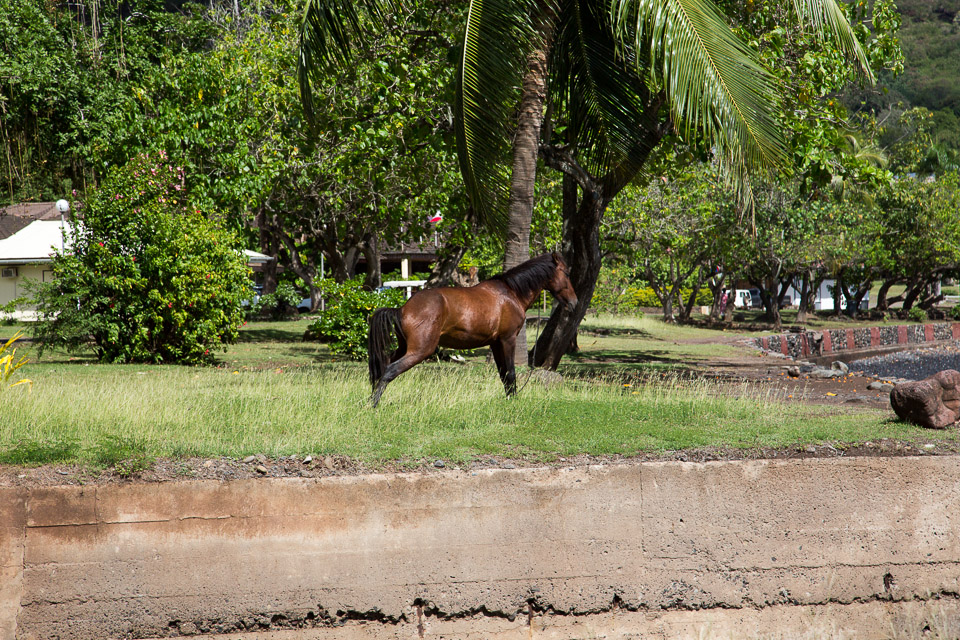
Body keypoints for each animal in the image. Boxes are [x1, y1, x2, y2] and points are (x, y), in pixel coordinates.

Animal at [368, 252, 576, 408]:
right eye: (566, 274)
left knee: (382, 367)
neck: (510, 293)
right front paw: (514, 401)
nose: (574, 303)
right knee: (390, 370)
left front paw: (509, 399)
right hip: (420, 351)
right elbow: (510, 372)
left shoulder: (495, 343)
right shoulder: (508, 340)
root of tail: (402, 309)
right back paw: (373, 405)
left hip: (404, 348)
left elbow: (503, 374)